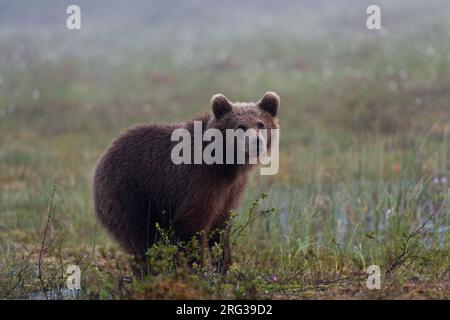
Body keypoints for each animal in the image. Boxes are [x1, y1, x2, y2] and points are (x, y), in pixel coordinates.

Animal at [92, 91, 280, 272]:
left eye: (260, 124)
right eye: (240, 126)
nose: (256, 142)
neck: (227, 164)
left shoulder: (232, 188)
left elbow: (221, 227)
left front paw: (226, 267)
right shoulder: (201, 180)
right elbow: (192, 224)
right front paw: (197, 269)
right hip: (130, 194)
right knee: (142, 238)